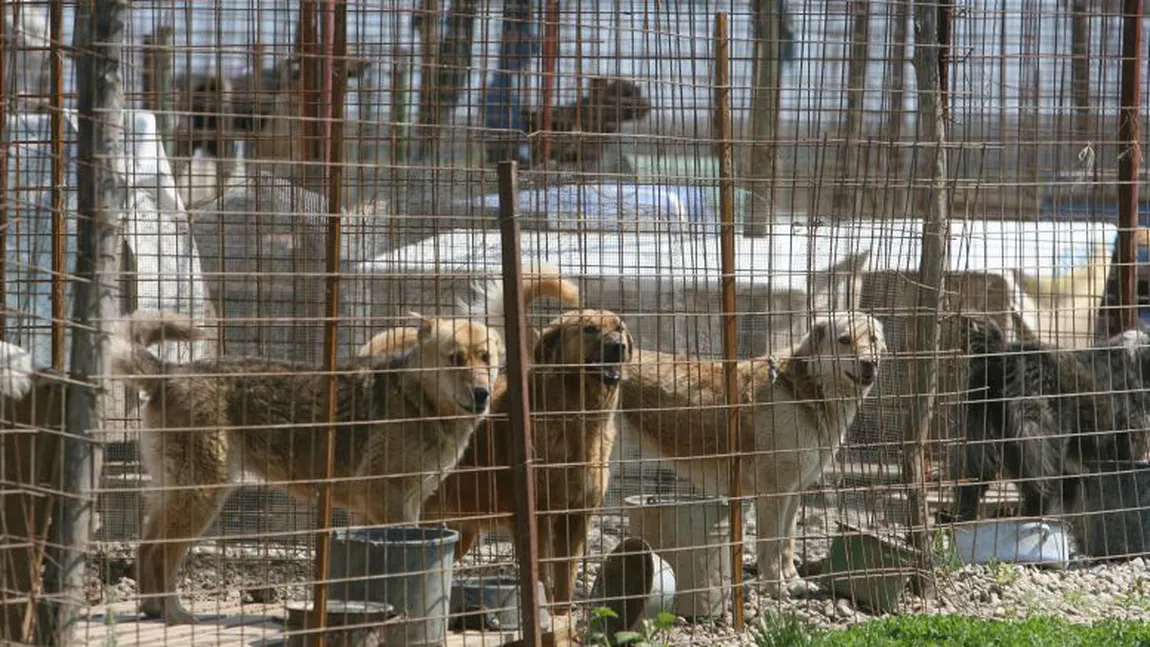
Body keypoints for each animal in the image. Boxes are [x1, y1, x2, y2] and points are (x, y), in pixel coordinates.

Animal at [112, 310, 503, 625]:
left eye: (486, 358)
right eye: (455, 359)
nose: (483, 394)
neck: (417, 399)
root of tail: (169, 373)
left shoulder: (386, 507)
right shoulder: (389, 502)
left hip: (178, 495)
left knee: (144, 547)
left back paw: (153, 610)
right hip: (203, 496)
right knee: (160, 553)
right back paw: (174, 614)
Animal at [425, 307, 639, 611]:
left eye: (619, 328)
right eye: (589, 329)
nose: (619, 346)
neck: (578, 416)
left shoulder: (577, 517)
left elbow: (565, 577)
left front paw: (562, 616)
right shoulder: (537, 517)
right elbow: (543, 575)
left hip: (460, 532)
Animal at [625, 312, 883, 597]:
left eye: (873, 339)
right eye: (845, 340)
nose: (870, 363)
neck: (805, 390)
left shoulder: (795, 491)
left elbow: (787, 543)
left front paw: (794, 581)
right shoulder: (773, 492)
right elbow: (770, 547)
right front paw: (776, 587)